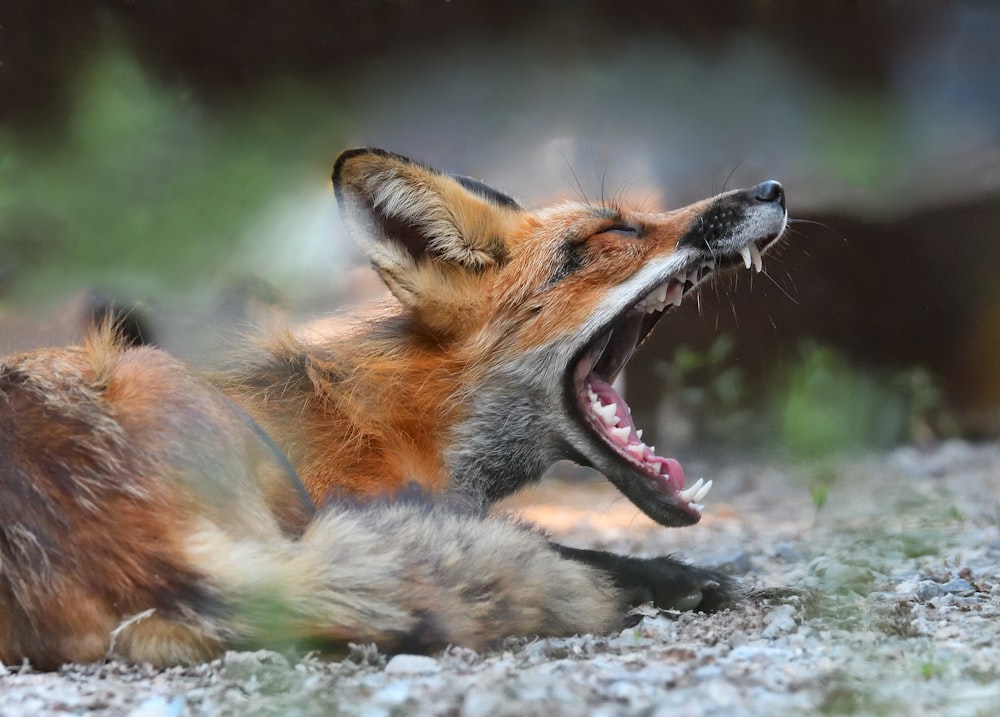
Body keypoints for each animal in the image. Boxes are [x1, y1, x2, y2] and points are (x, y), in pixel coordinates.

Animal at [0, 148, 788, 668]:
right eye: (615, 233)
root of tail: (154, 560)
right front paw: (685, 577)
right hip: (166, 382)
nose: (773, 187)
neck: (395, 419)